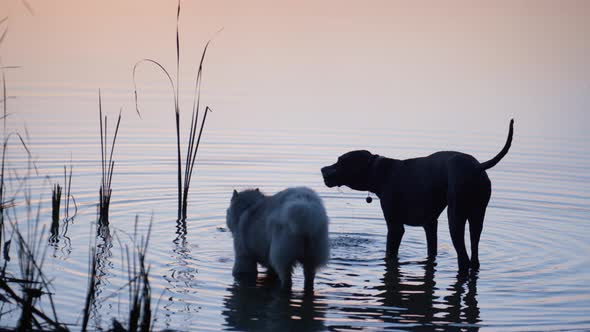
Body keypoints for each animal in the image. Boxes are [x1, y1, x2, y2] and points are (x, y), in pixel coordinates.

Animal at [324, 119, 512, 272]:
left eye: (340, 161)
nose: (322, 169)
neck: (380, 171)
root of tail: (477, 167)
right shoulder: (430, 224)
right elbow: (431, 251)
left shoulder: (395, 227)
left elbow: (390, 252)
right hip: (477, 216)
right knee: (474, 253)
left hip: (455, 217)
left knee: (463, 257)